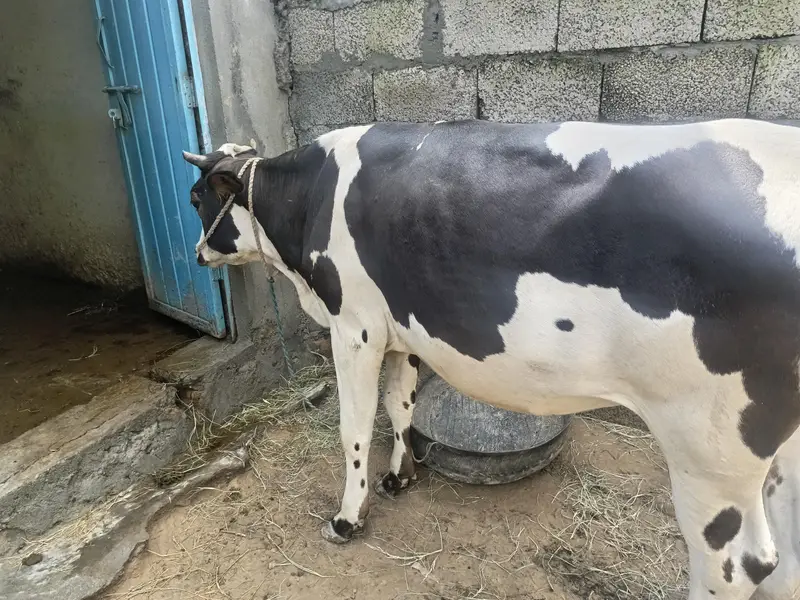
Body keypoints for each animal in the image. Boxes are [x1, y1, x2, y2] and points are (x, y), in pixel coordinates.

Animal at [182, 118, 800, 600]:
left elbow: (354, 426)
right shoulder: (402, 329)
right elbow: (400, 404)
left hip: (710, 443)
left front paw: (347, 518)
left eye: (194, 197)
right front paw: (399, 478)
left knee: (737, 562)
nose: (197, 253)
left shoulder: (355, 326)